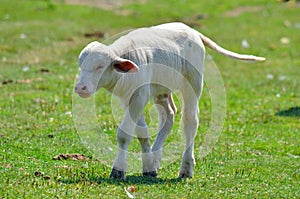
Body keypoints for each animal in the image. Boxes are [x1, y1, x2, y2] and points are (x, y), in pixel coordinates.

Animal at [74, 22, 264, 180]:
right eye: (80, 66)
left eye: (100, 66)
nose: (80, 88)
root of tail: (192, 31)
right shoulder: (128, 98)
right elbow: (142, 132)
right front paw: (149, 167)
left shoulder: (139, 96)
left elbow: (123, 134)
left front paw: (118, 170)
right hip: (161, 90)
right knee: (169, 115)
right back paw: (156, 159)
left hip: (193, 83)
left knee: (190, 121)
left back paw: (186, 169)